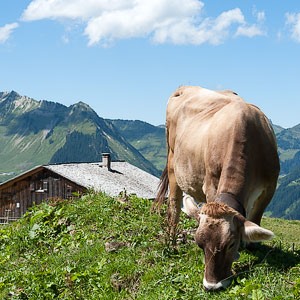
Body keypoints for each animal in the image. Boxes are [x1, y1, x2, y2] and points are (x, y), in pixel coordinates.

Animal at [156, 86, 280, 290]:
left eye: (231, 244)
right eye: (199, 244)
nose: (212, 286)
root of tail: (184, 88)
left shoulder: (270, 188)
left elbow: (255, 219)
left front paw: (252, 246)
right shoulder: (211, 185)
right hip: (173, 164)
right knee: (173, 207)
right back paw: (171, 242)